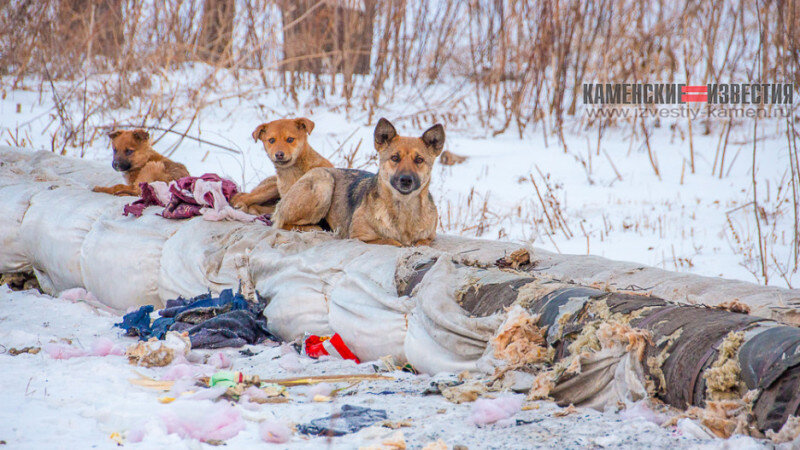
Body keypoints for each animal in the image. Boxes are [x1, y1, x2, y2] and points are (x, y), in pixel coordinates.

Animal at [270, 118, 444, 246]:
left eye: (419, 160)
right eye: (395, 158)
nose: (406, 180)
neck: (404, 208)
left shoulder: (428, 238)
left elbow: (421, 243)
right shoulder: (360, 237)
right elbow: (392, 242)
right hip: (324, 182)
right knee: (283, 223)